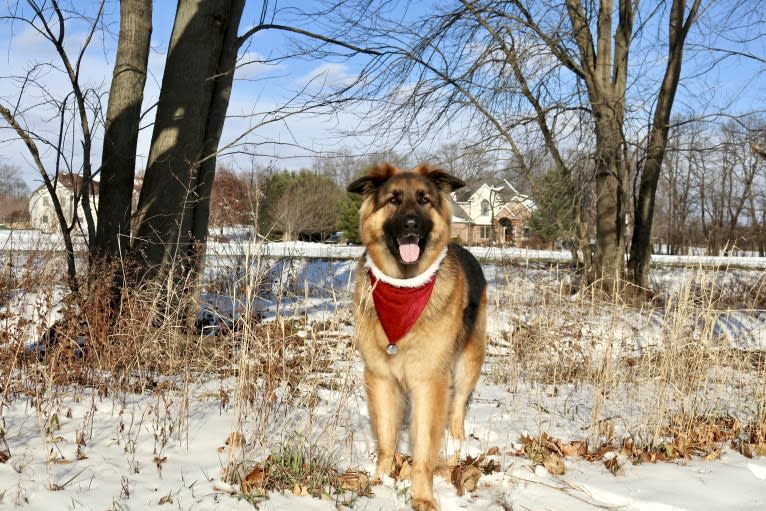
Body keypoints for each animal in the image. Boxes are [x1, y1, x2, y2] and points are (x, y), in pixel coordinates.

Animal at [350, 164, 488, 511]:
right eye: (394, 200)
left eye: (424, 200)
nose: (411, 225)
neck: (404, 289)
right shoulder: (381, 377)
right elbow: (386, 437)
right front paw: (381, 479)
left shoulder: (429, 381)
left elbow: (425, 445)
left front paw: (422, 496)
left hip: (468, 362)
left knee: (458, 405)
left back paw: (457, 439)